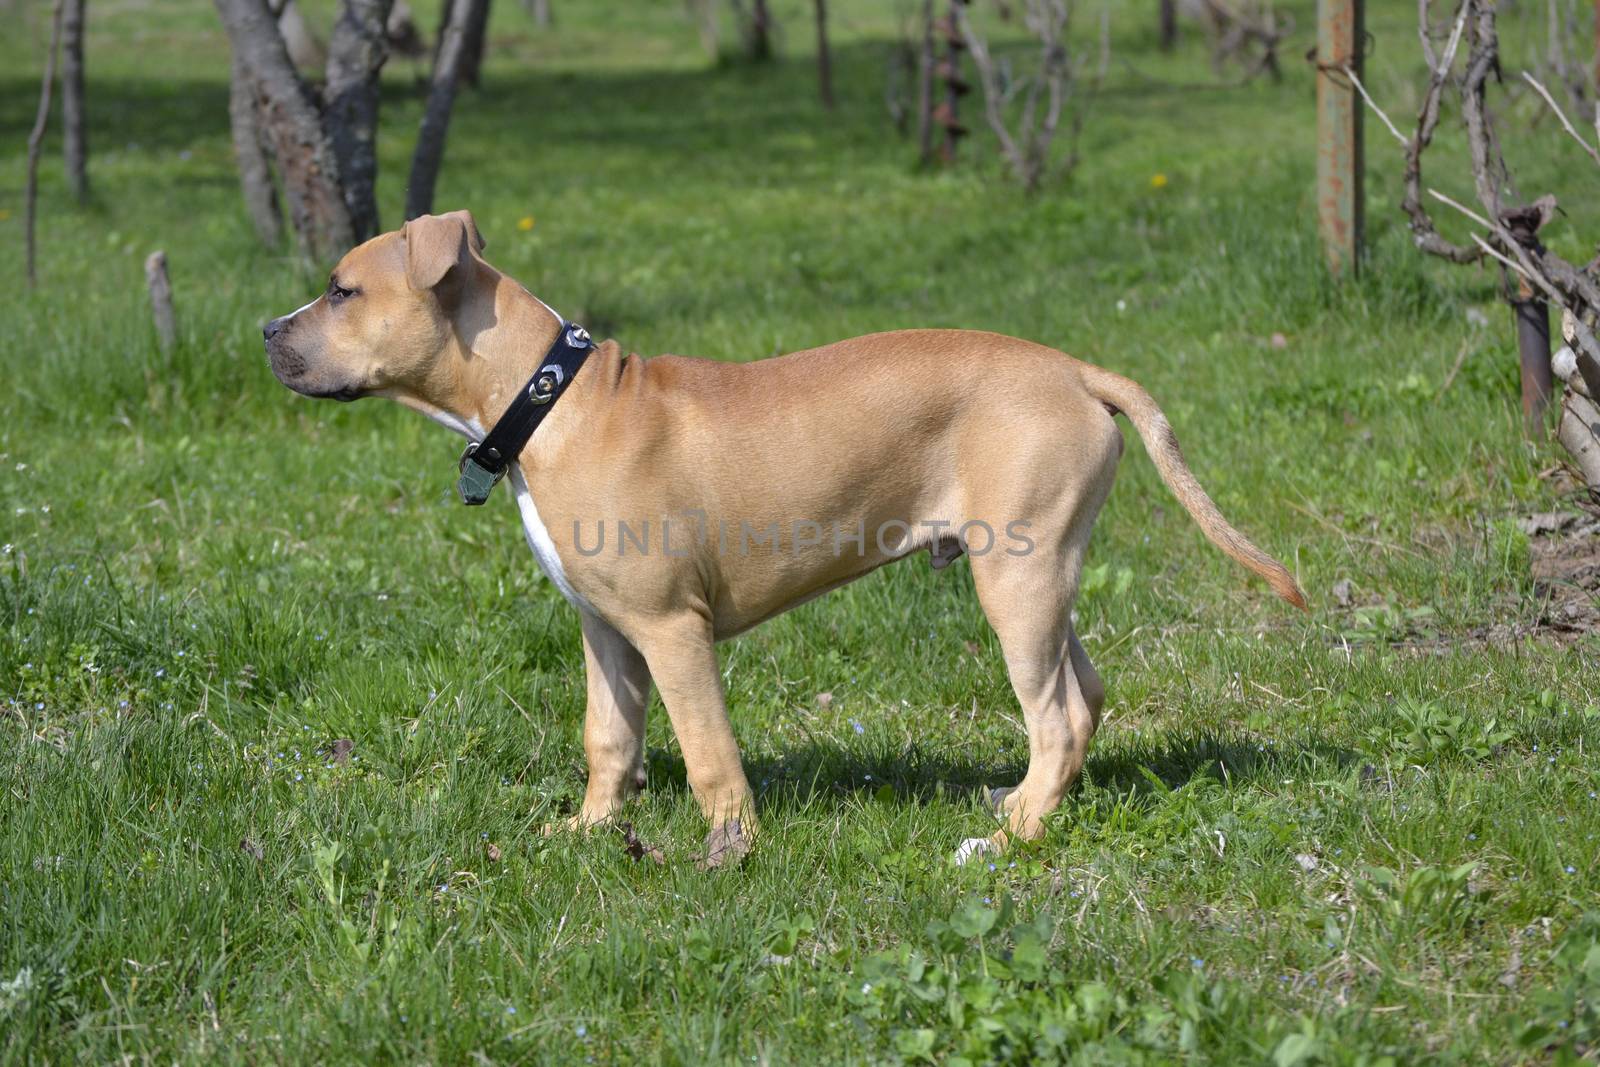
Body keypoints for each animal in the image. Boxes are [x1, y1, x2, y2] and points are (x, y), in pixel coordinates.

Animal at [262, 211, 1305, 870]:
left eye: (341, 290)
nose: (268, 330)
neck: (545, 397)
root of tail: (1078, 371)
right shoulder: (606, 630)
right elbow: (609, 736)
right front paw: (590, 832)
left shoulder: (671, 629)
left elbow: (708, 751)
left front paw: (730, 855)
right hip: (1041, 574)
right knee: (1083, 697)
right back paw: (1021, 811)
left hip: (1016, 581)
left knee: (1053, 715)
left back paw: (1009, 843)